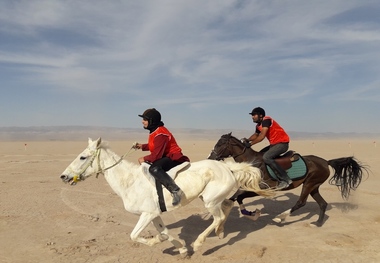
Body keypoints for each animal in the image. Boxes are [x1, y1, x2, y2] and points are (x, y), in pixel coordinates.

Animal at [59, 138, 274, 258]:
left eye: (82, 157)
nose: (63, 176)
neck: (130, 181)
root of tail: (228, 167)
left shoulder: (146, 214)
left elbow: (135, 235)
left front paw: (158, 242)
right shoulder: (154, 214)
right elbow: (164, 232)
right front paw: (181, 249)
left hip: (210, 201)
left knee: (218, 216)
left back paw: (200, 243)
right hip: (212, 198)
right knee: (227, 206)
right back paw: (220, 232)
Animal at [208, 133, 368, 228]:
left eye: (220, 144)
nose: (211, 157)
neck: (252, 162)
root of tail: (325, 162)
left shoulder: (262, 189)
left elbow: (238, 196)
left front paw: (253, 214)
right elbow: (236, 197)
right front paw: (251, 214)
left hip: (309, 183)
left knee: (301, 202)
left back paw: (280, 218)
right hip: (314, 186)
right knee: (323, 204)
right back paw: (317, 223)